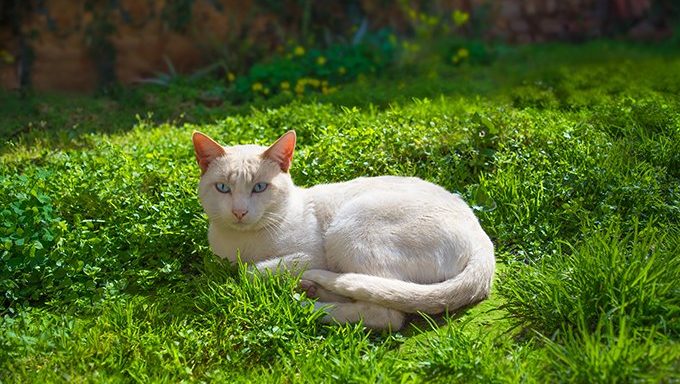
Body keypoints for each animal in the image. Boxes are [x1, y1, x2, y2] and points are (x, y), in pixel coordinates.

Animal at [191, 130, 494, 328]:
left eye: (259, 188)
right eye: (223, 188)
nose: (239, 212)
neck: (240, 245)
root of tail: (483, 241)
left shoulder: (310, 255)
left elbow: (250, 272)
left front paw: (285, 280)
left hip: (348, 227)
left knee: (386, 313)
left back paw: (304, 302)